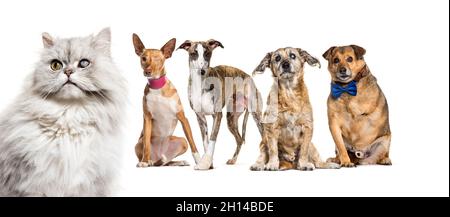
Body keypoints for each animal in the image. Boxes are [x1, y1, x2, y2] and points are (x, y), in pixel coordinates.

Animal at [131, 34, 200, 167]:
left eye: (158, 59)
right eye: (143, 58)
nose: (147, 71)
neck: (157, 87)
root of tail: (158, 156)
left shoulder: (183, 118)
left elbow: (193, 142)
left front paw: (200, 161)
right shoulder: (147, 118)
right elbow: (146, 145)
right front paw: (144, 161)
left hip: (182, 141)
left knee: (167, 162)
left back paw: (178, 161)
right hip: (138, 143)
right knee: (155, 157)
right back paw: (149, 161)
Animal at [178, 39, 264, 170]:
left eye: (207, 53)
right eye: (194, 53)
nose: (202, 71)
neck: (200, 85)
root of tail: (249, 77)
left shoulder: (217, 115)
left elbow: (212, 139)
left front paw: (205, 163)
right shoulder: (200, 118)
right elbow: (205, 142)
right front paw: (208, 164)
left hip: (256, 115)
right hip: (231, 119)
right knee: (239, 139)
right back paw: (233, 160)